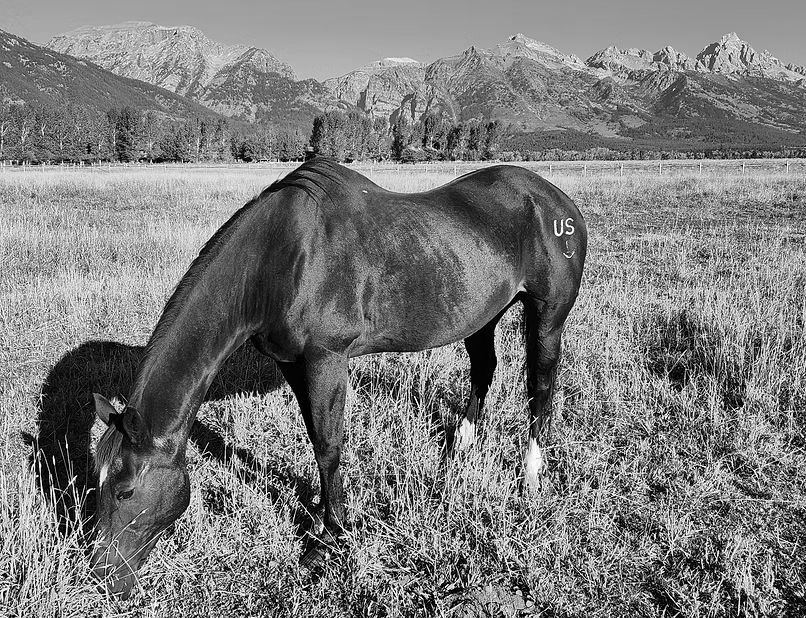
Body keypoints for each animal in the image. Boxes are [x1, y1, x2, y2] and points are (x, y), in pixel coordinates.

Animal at [91, 158, 586, 598]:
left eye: (125, 490)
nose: (100, 577)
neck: (280, 260)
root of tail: (557, 201)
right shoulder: (293, 363)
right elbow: (316, 438)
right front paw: (323, 515)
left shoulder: (326, 359)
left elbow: (330, 446)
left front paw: (330, 536)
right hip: (483, 315)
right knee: (484, 370)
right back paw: (457, 449)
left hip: (547, 317)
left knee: (540, 388)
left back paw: (530, 478)